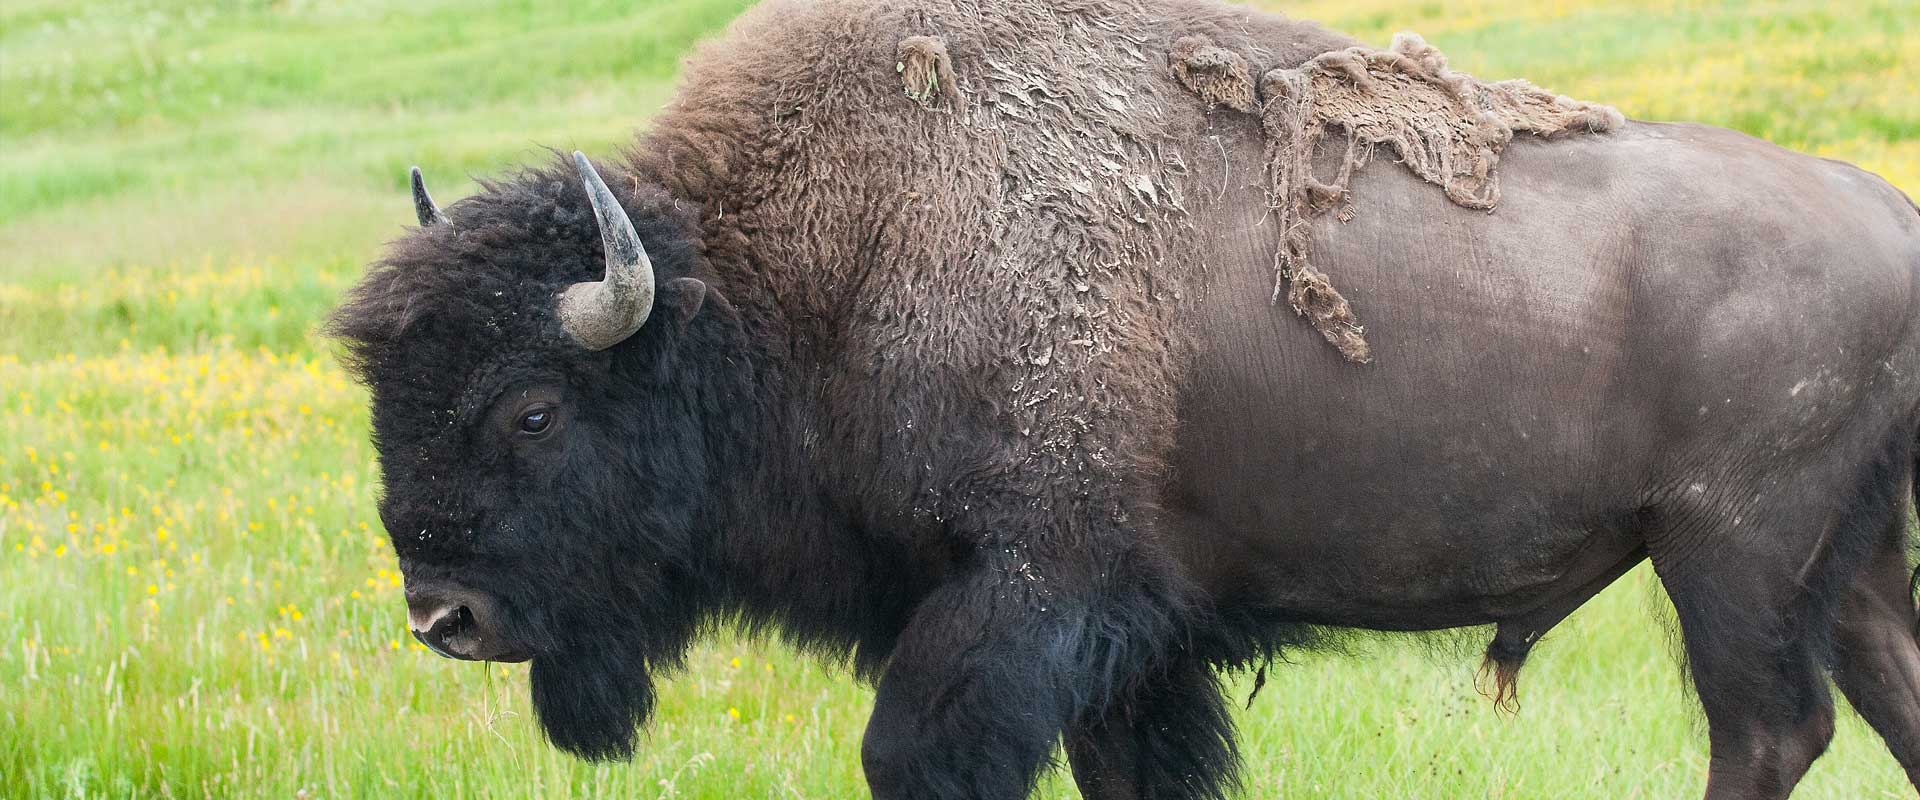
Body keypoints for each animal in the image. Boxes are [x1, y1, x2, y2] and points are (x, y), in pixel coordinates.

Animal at [330, 0, 1920, 794]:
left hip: (1727, 556)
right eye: (391, 398)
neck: (801, 271)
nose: (443, 615)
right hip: (1841, 564)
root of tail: (1887, 215)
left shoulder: (1033, 593)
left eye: (533, 410)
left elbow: (913, 751)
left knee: (1769, 732)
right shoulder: (1137, 649)